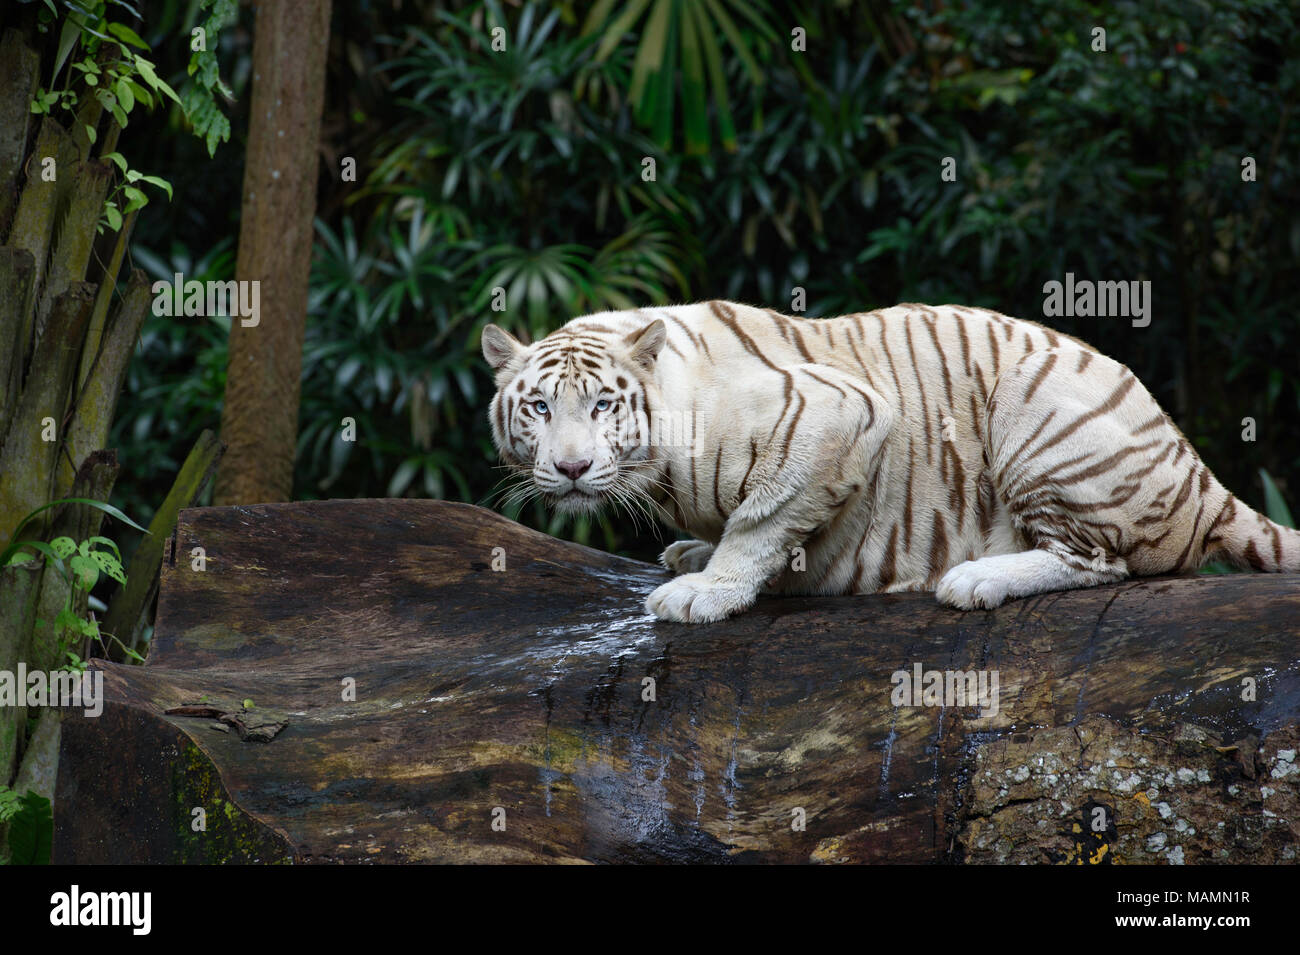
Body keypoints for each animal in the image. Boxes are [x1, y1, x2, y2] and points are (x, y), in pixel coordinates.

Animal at [480, 302, 1300, 623]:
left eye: (603, 407)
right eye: (540, 408)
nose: (573, 469)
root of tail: (1198, 475)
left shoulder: (841, 412)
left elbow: (761, 518)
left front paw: (707, 590)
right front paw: (693, 554)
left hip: (1034, 404)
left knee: (1105, 562)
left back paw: (976, 578)